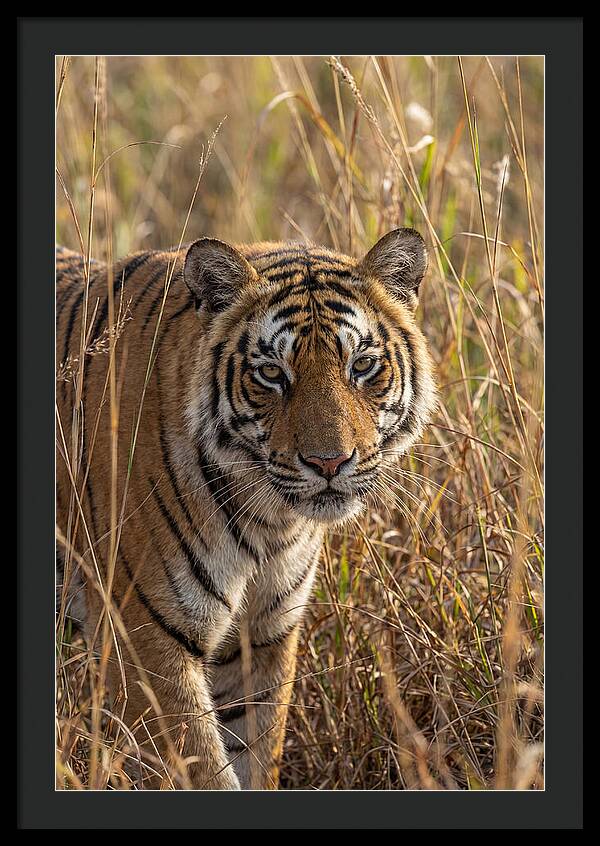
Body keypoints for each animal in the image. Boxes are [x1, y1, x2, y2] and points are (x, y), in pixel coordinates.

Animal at [56, 228, 437, 790]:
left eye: (363, 366)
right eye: (272, 373)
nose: (329, 462)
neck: (269, 522)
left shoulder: (262, 635)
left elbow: (256, 753)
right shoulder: (145, 641)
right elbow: (202, 770)